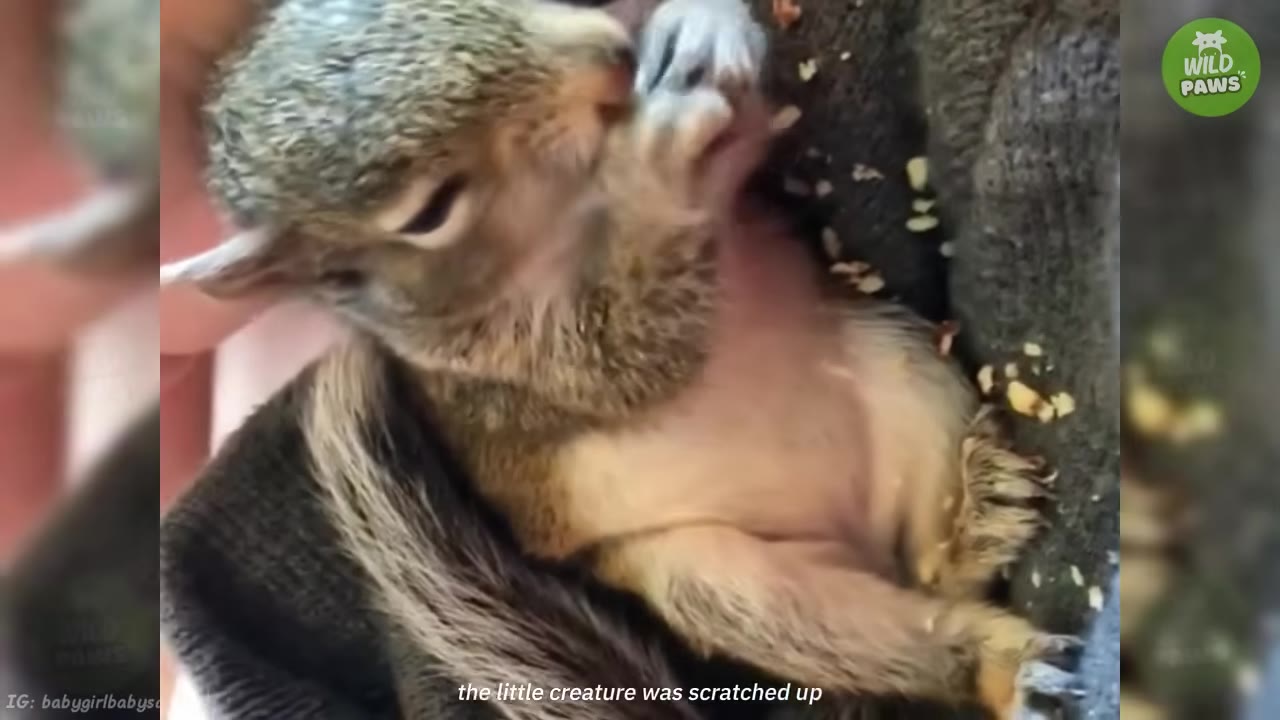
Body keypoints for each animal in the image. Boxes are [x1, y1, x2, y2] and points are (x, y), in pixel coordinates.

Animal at [162, 1, 1082, 718]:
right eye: (428, 212)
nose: (612, 53)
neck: (572, 203)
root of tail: (860, 535)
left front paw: (699, 27)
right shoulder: (523, 372)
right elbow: (629, 340)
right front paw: (657, 160)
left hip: (902, 373)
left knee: (935, 568)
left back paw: (979, 514)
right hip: (720, 587)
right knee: (896, 631)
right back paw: (1000, 664)